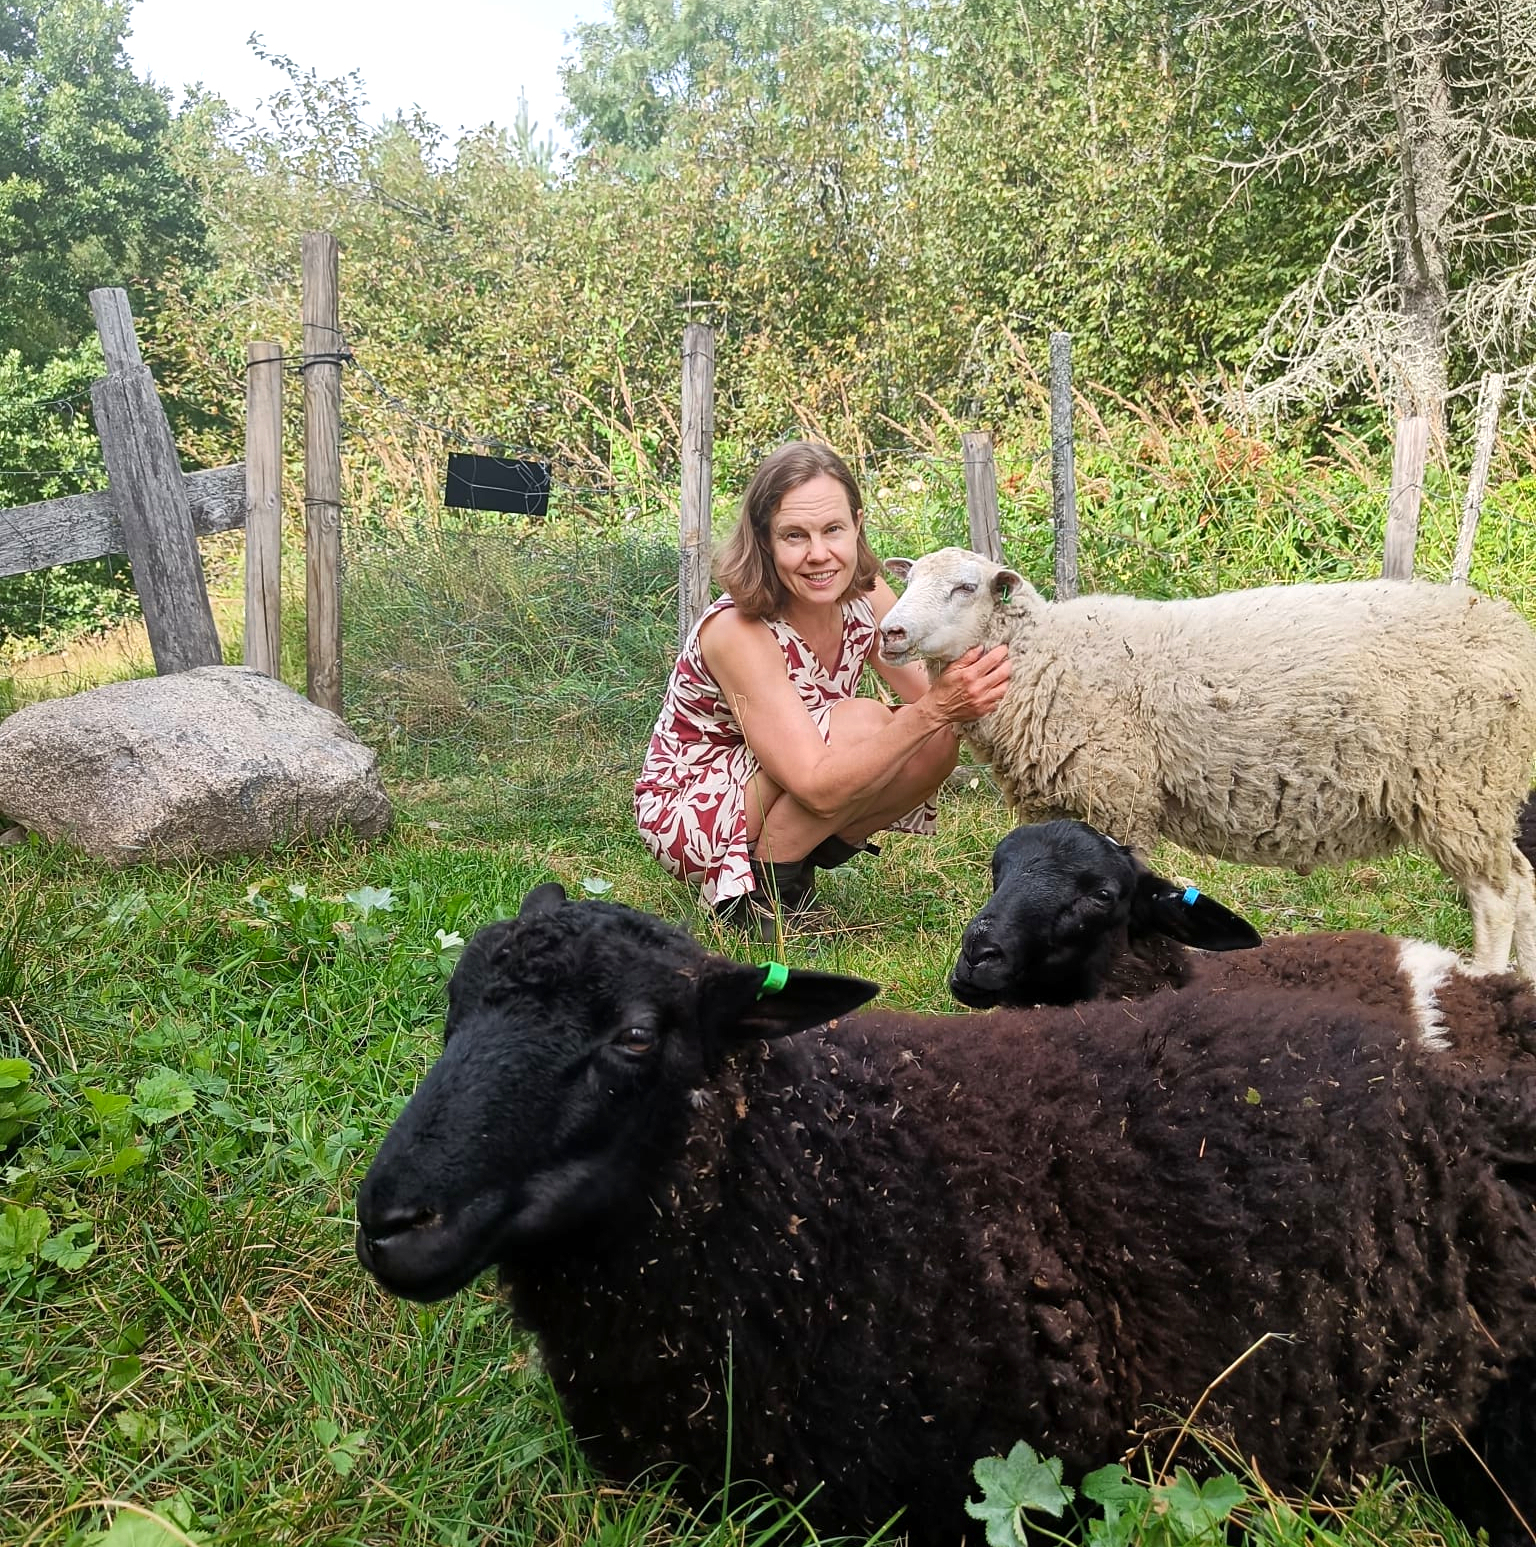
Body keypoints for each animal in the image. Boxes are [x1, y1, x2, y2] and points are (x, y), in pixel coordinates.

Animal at [878, 550, 1536, 971]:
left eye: (965, 587)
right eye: (908, 581)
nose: (890, 631)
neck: (1048, 657)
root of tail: (1512, 635)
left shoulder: (1116, 800)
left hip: (1462, 785)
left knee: (1496, 898)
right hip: (1482, 792)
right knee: (1524, 884)